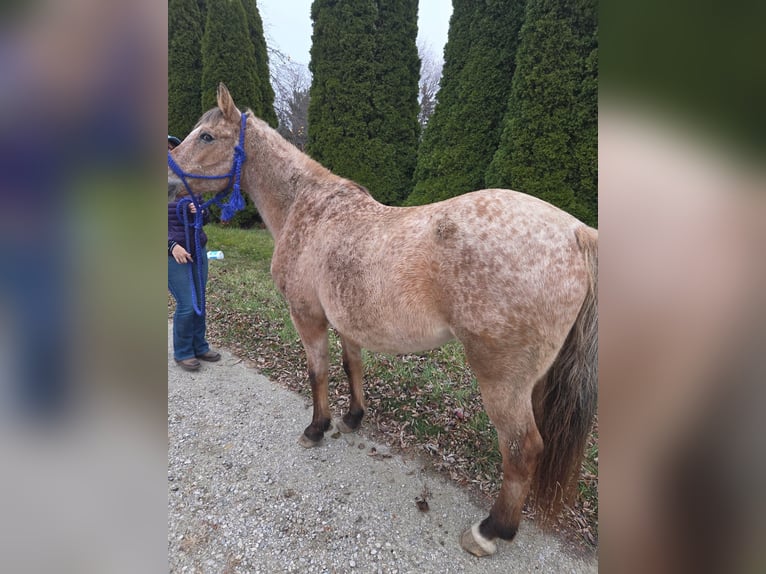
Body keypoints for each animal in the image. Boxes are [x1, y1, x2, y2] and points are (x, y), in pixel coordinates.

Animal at [168, 83, 598, 557]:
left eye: (206, 136)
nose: (168, 184)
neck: (308, 210)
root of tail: (576, 232)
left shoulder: (307, 316)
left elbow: (318, 372)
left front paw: (316, 428)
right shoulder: (346, 320)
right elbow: (351, 366)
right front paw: (353, 417)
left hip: (502, 378)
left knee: (523, 448)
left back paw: (490, 531)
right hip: (534, 380)